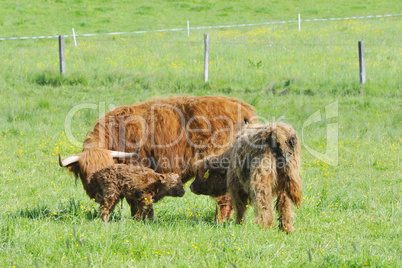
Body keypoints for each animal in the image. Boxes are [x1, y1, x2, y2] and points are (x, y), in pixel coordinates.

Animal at [62, 95, 258, 223]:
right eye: (85, 173)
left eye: (104, 173)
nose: (99, 194)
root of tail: (243, 108)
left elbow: (137, 201)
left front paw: (138, 220)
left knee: (224, 197)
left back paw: (220, 221)